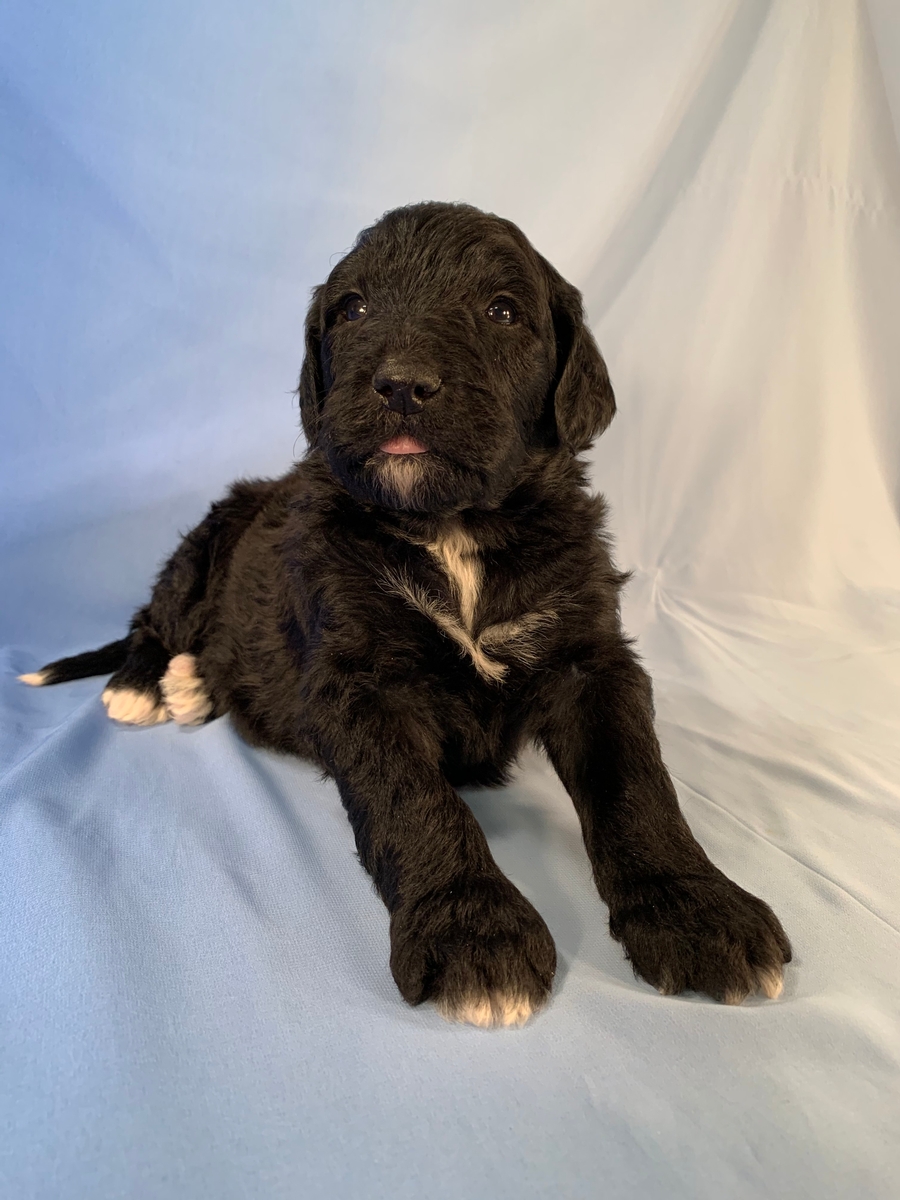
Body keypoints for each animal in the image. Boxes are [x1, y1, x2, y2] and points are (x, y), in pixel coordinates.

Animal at [22, 201, 787, 1027]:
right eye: (352, 309)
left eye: (502, 311)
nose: (402, 386)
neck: (453, 528)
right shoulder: (360, 680)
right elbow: (415, 801)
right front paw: (474, 937)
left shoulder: (592, 658)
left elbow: (635, 781)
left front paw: (698, 913)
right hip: (207, 539)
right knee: (153, 618)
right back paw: (146, 685)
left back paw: (194, 684)